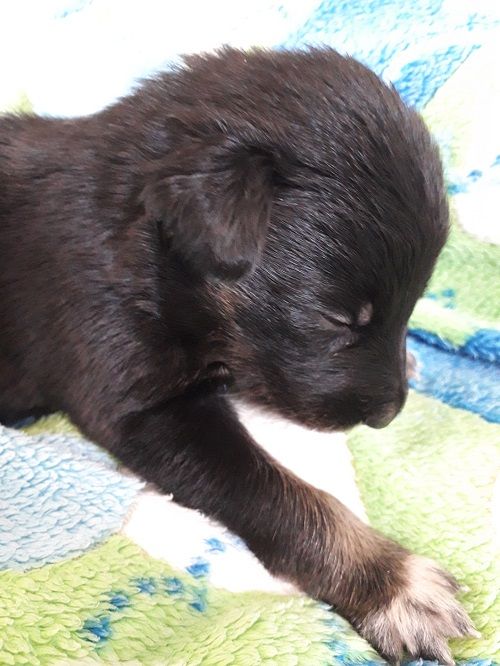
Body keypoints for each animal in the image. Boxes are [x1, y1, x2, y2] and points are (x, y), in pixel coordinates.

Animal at [0, 47, 476, 662]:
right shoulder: (141, 399)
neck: (149, 246)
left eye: (413, 303)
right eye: (337, 318)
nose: (389, 413)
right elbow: (286, 497)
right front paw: (394, 584)